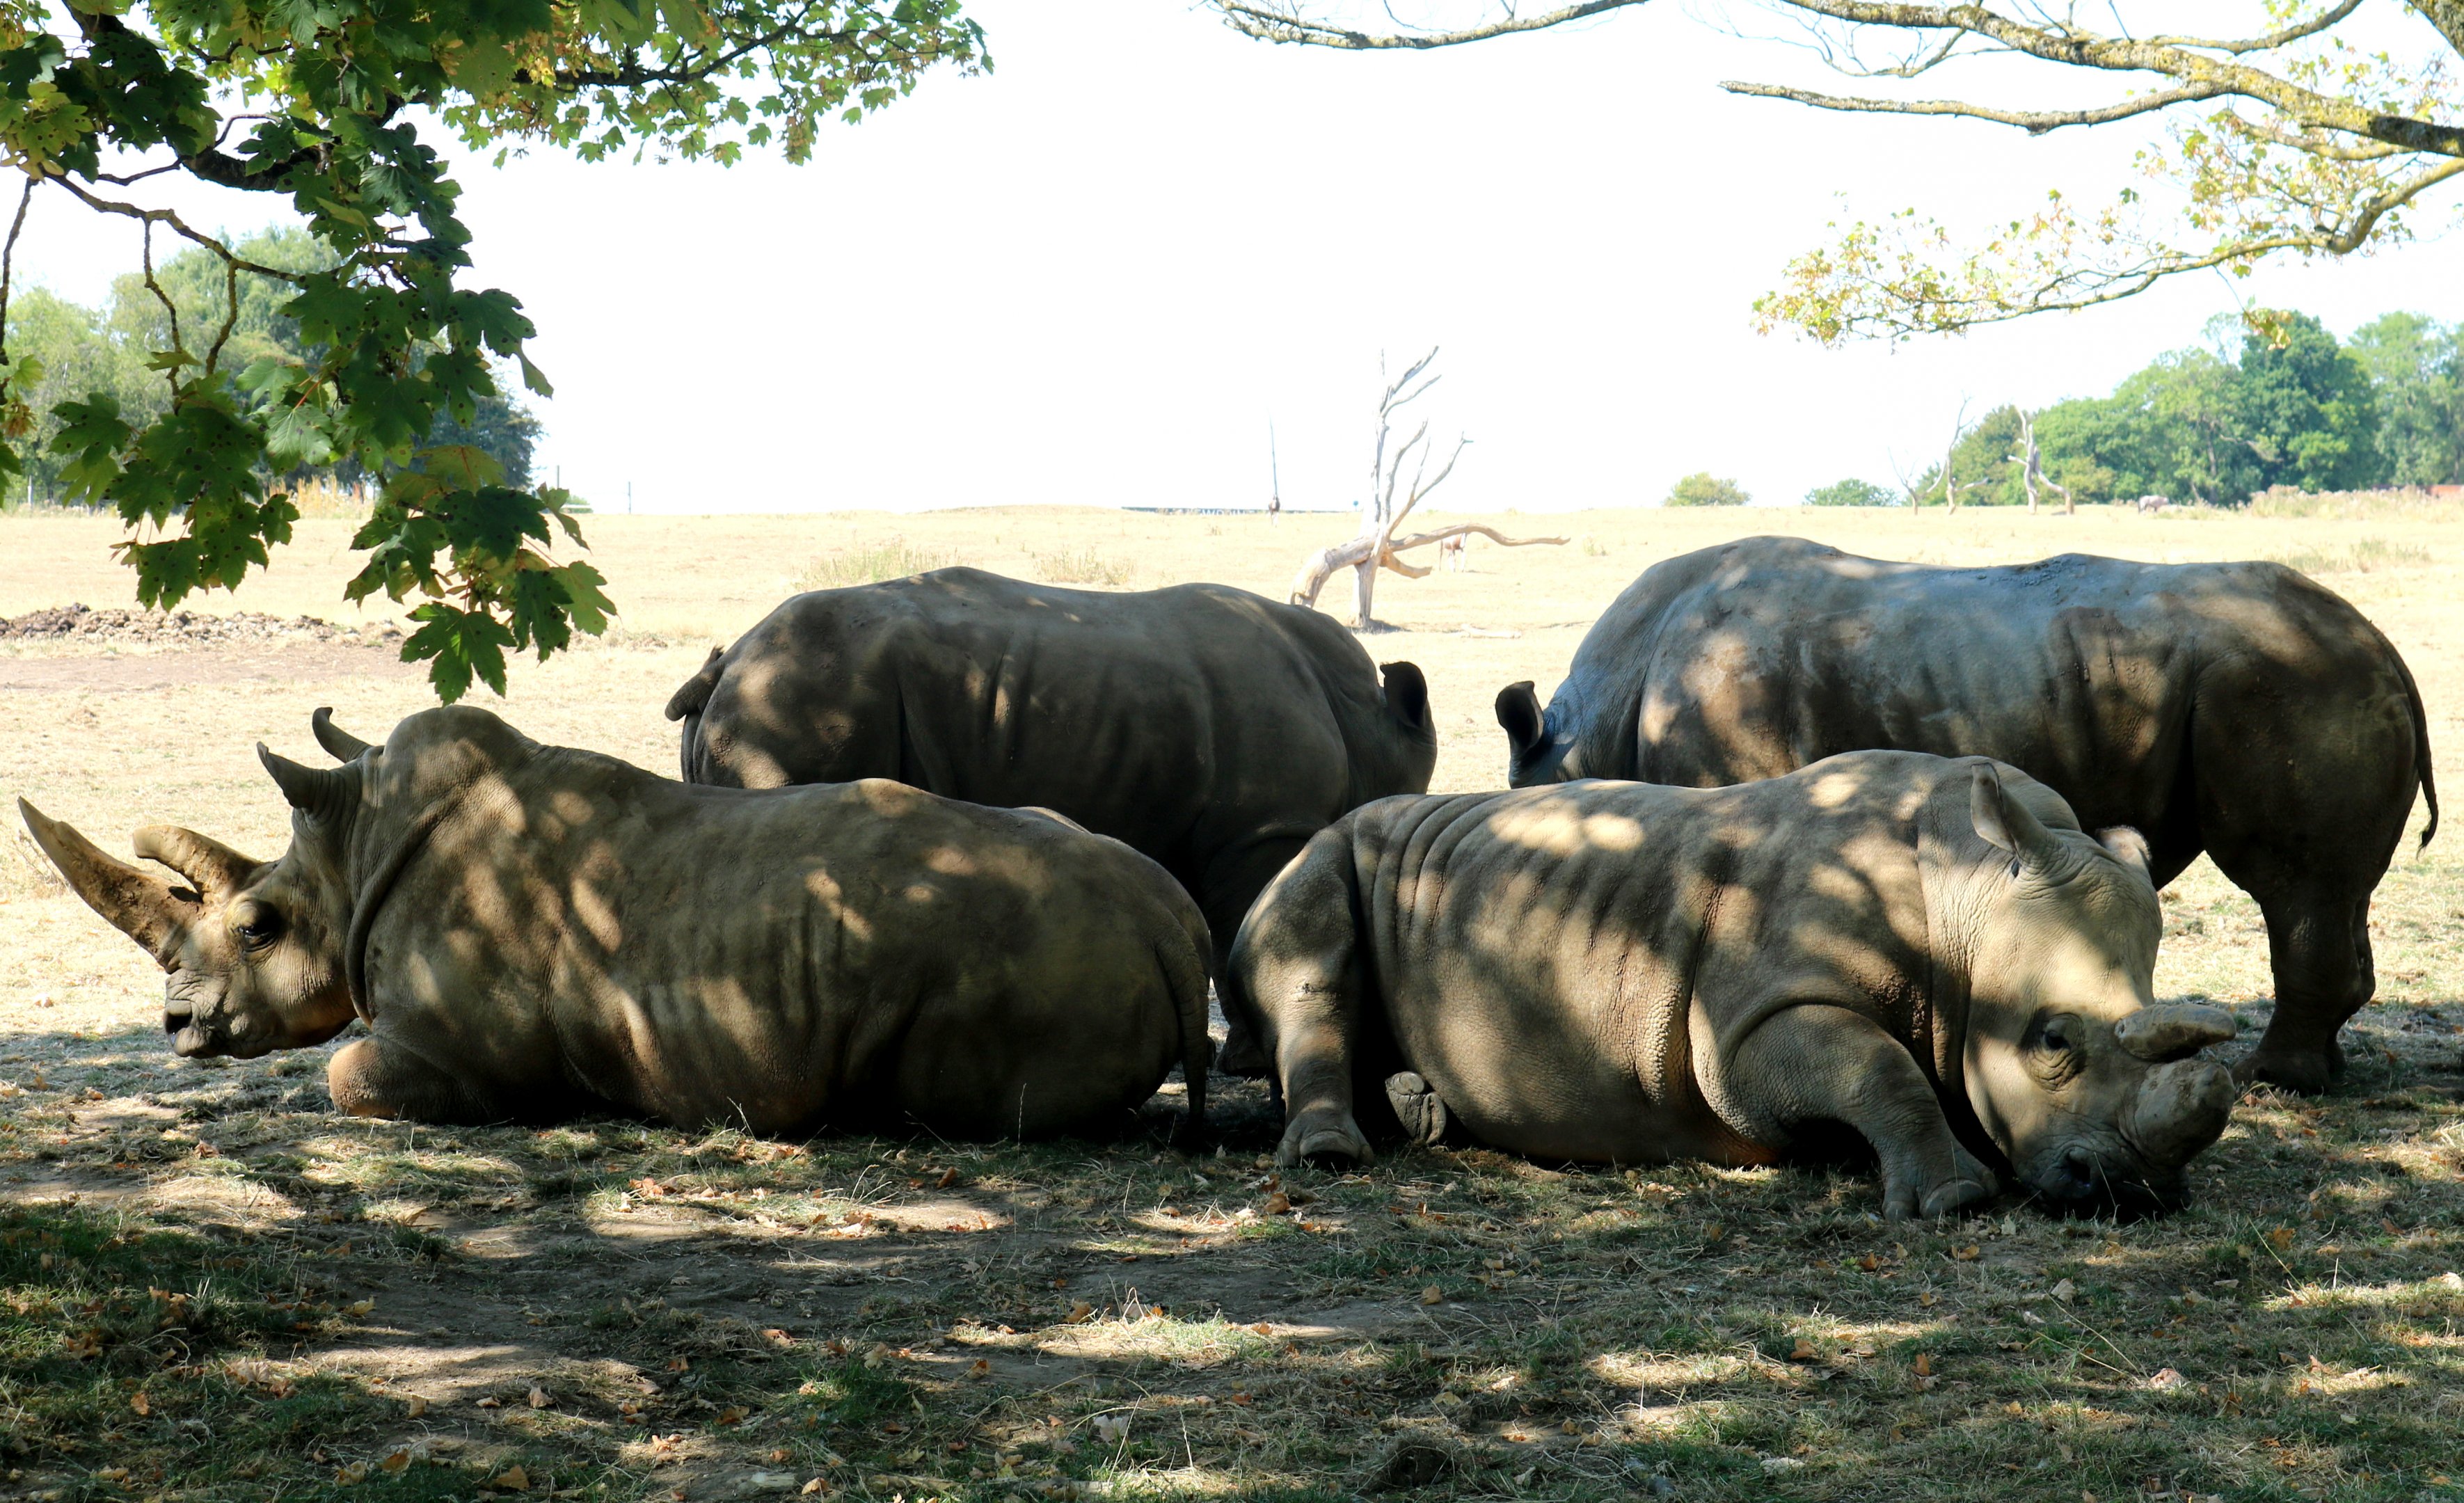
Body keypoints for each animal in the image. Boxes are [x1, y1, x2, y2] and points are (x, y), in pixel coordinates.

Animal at [19, 706, 1211, 1140]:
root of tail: (1180, 928)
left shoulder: (467, 1048)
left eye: (259, 929)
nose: (177, 1025)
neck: (351, 852)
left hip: (1029, 956)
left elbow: (347, 1074)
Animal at [664, 567, 1439, 1069]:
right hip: (798, 697)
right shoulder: (1264, 826)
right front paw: (1249, 1065)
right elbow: (1248, 926)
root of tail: (726, 665)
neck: (1368, 718)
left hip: (776, 697)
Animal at [1229, 753, 2238, 1217]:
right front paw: (1953, 1202)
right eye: (2050, 1042)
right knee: (1311, 966)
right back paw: (1332, 1158)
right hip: (1325, 853)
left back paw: (1424, 1118)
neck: (1972, 889)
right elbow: (1881, 1069)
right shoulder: (1750, 1023)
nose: (2129, 1191)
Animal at [1495, 537, 2437, 1095]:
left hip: (2287, 684)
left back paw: (2274, 1080)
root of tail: (2382, 646)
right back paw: (2315, 1074)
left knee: (2292, 885)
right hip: (2306, 679)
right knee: (2335, 893)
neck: (1587, 729)